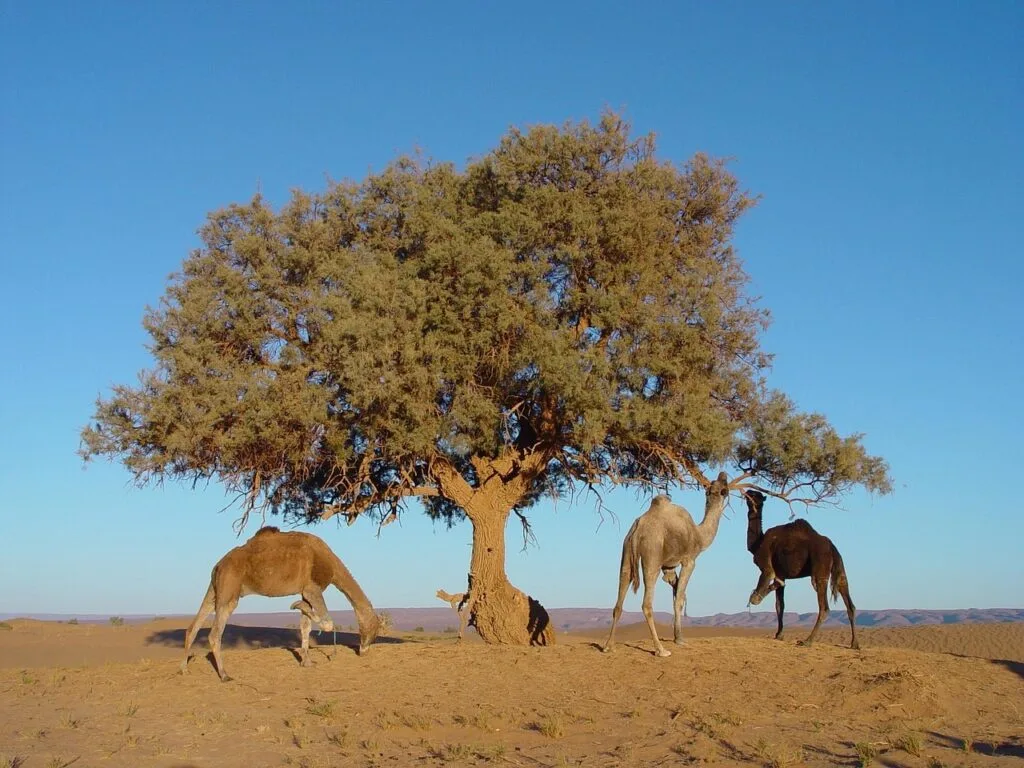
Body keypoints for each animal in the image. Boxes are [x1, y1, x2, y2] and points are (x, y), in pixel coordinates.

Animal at [181, 526, 380, 681]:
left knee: (193, 627)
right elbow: (327, 623)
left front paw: (307, 662)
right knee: (215, 634)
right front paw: (296, 605)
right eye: (373, 631)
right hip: (230, 588)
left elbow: (305, 626)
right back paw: (224, 675)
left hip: (215, 590)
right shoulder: (312, 588)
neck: (331, 564)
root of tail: (218, 565)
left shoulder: (305, 590)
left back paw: (184, 668)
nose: (364, 651)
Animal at [603, 472, 731, 657]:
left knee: (620, 598)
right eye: (724, 489)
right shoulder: (689, 561)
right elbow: (679, 599)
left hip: (626, 552)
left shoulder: (668, 567)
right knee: (647, 603)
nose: (723, 475)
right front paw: (679, 640)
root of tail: (638, 529)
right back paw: (661, 650)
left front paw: (678, 636)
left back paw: (608, 646)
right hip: (652, 555)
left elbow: (676, 594)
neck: (699, 535)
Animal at [745, 490, 859, 649]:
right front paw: (779, 634)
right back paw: (854, 643)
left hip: (820, 568)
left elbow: (768, 580)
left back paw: (807, 641)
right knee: (849, 602)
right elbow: (780, 605)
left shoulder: (767, 566)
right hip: (840, 568)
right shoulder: (781, 573)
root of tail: (832, 548)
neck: (757, 543)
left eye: (754, 495)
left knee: (824, 607)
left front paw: (755, 598)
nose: (747, 492)